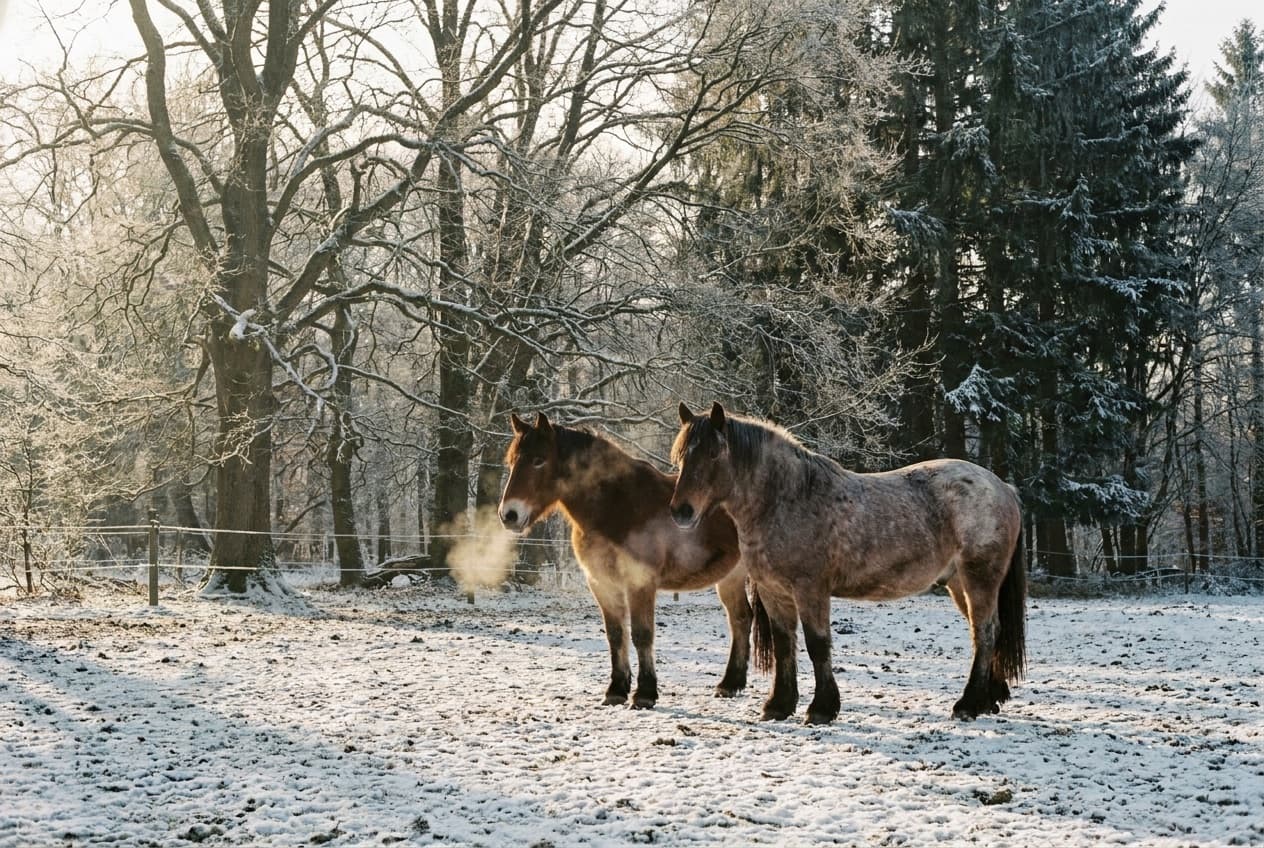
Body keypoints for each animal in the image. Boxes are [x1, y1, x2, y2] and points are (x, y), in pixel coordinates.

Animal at [498, 411, 754, 709]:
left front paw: (645, 693)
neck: (616, 505)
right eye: (512, 461)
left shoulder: (639, 582)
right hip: (731, 577)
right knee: (740, 618)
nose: (509, 515)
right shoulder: (602, 583)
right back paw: (730, 684)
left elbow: (642, 635)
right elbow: (616, 634)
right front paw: (616, 690)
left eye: (539, 460)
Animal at [668, 402, 1026, 724]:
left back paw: (968, 704)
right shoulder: (774, 592)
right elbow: (785, 644)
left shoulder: (811, 590)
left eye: (713, 454)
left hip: (979, 579)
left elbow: (817, 644)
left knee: (985, 632)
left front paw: (821, 709)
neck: (788, 499)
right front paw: (779, 705)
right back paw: (988, 700)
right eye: (682, 456)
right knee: (985, 632)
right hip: (958, 583)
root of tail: (1003, 487)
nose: (681, 511)